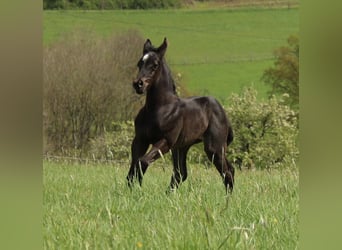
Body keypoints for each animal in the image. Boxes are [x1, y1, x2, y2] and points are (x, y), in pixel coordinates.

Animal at [125, 37, 235, 193]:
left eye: (155, 65)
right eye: (140, 63)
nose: (138, 84)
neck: (159, 109)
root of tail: (222, 112)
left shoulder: (166, 141)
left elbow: (142, 161)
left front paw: (138, 189)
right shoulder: (140, 140)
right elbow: (133, 167)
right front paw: (131, 190)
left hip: (214, 148)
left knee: (227, 171)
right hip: (181, 147)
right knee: (181, 173)